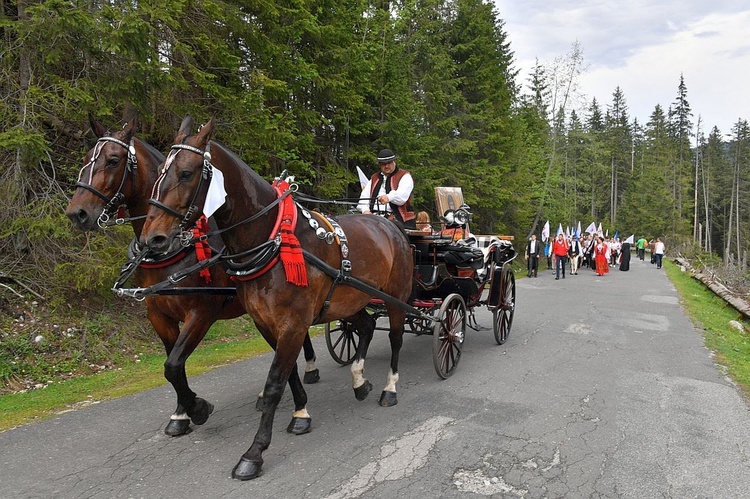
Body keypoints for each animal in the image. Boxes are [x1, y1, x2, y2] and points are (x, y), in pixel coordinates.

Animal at [64, 117, 320, 438]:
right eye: (87, 159)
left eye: (113, 160)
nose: (77, 213)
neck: (174, 249)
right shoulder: (159, 315)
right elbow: (173, 366)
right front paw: (181, 413)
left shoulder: (201, 312)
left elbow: (173, 364)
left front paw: (197, 408)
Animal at [138, 116, 414, 480]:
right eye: (158, 173)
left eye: (186, 173)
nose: (153, 238)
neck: (272, 240)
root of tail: (389, 225)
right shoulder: (266, 322)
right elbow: (287, 373)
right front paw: (300, 416)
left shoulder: (292, 323)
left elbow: (273, 384)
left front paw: (254, 452)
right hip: (347, 300)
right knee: (366, 326)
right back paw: (359, 381)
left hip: (395, 298)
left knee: (396, 338)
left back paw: (389, 389)